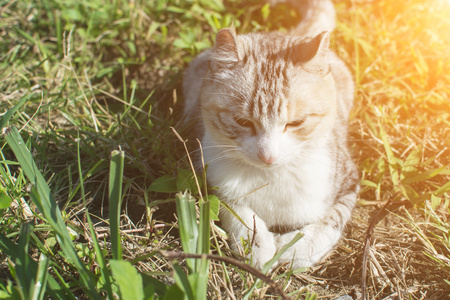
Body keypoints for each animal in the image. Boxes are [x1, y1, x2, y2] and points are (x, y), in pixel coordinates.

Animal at [182, 0, 358, 270]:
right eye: (242, 121)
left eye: (296, 122)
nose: (268, 156)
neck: (272, 177)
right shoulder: (208, 177)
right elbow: (234, 209)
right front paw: (255, 244)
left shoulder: (348, 182)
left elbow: (331, 220)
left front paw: (297, 248)